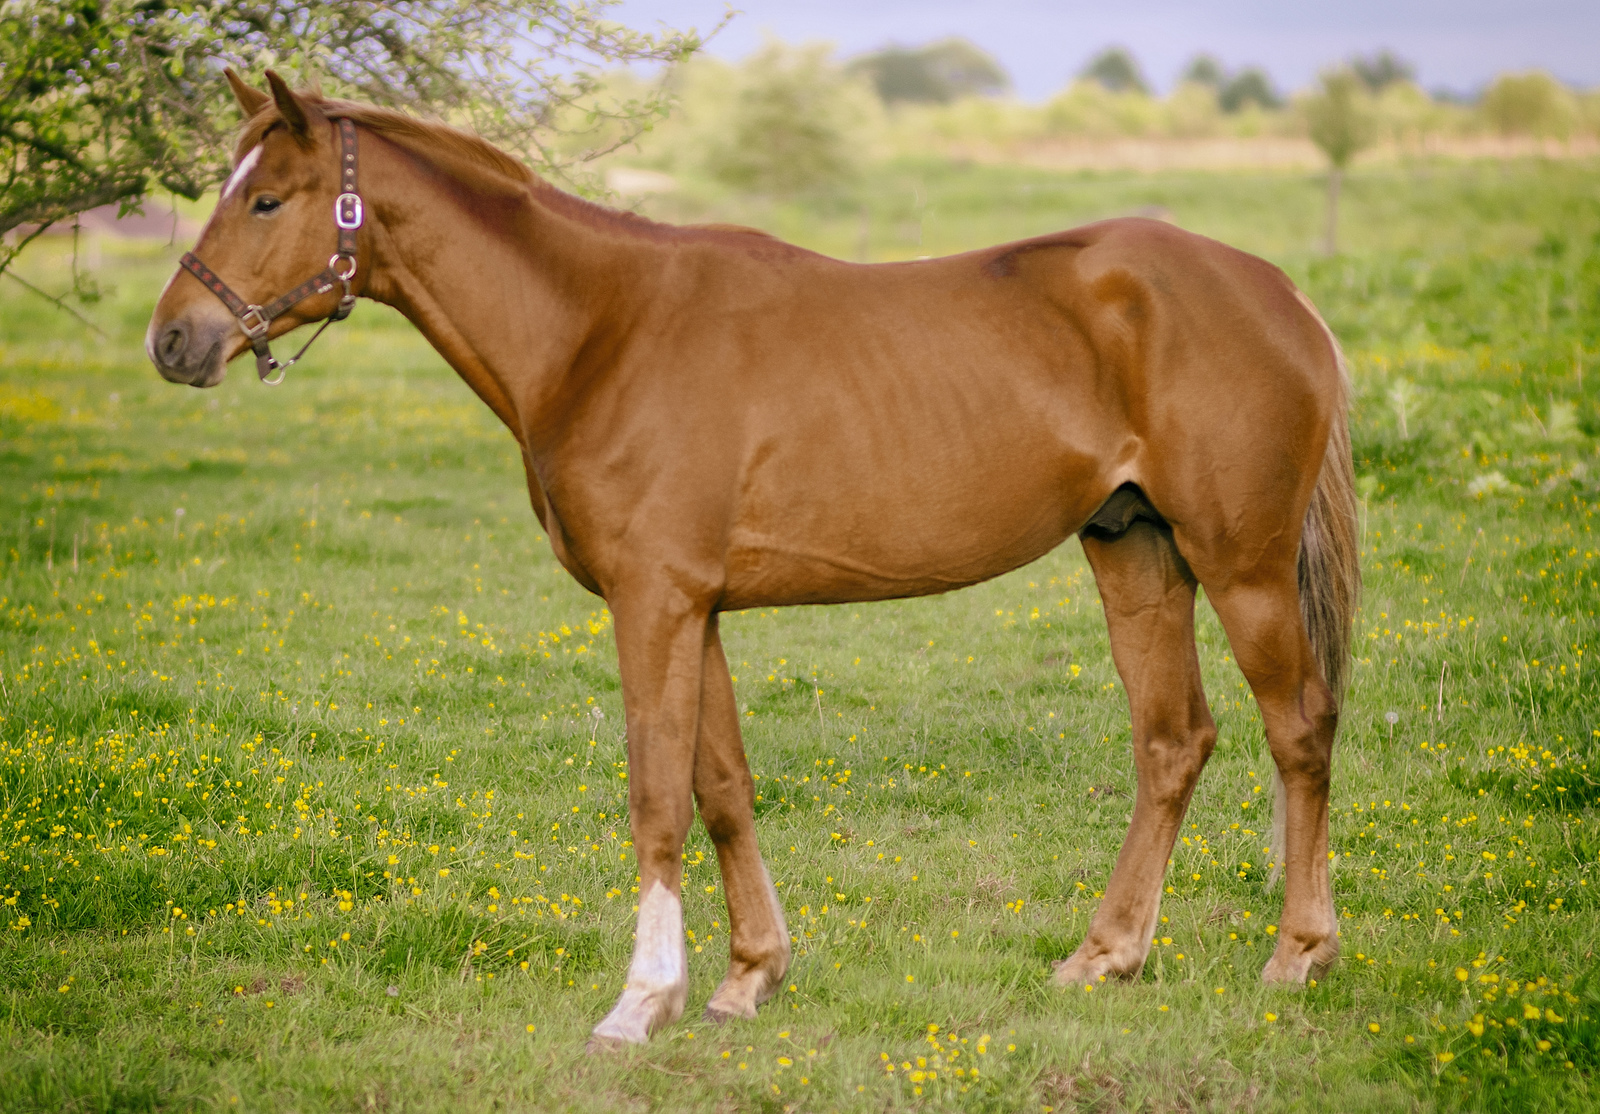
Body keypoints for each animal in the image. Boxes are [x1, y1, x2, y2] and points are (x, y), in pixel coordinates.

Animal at [147, 71, 1363, 1049]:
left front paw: (641, 1003)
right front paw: (747, 978)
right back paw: (1105, 955)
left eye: (267, 197)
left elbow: (655, 794)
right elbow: (721, 786)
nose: (174, 340)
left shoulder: (651, 603)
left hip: (1242, 566)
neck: (601, 331)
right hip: (1134, 552)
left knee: (1297, 729)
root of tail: (1283, 293)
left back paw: (1297, 954)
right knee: (1173, 741)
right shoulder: (700, 608)